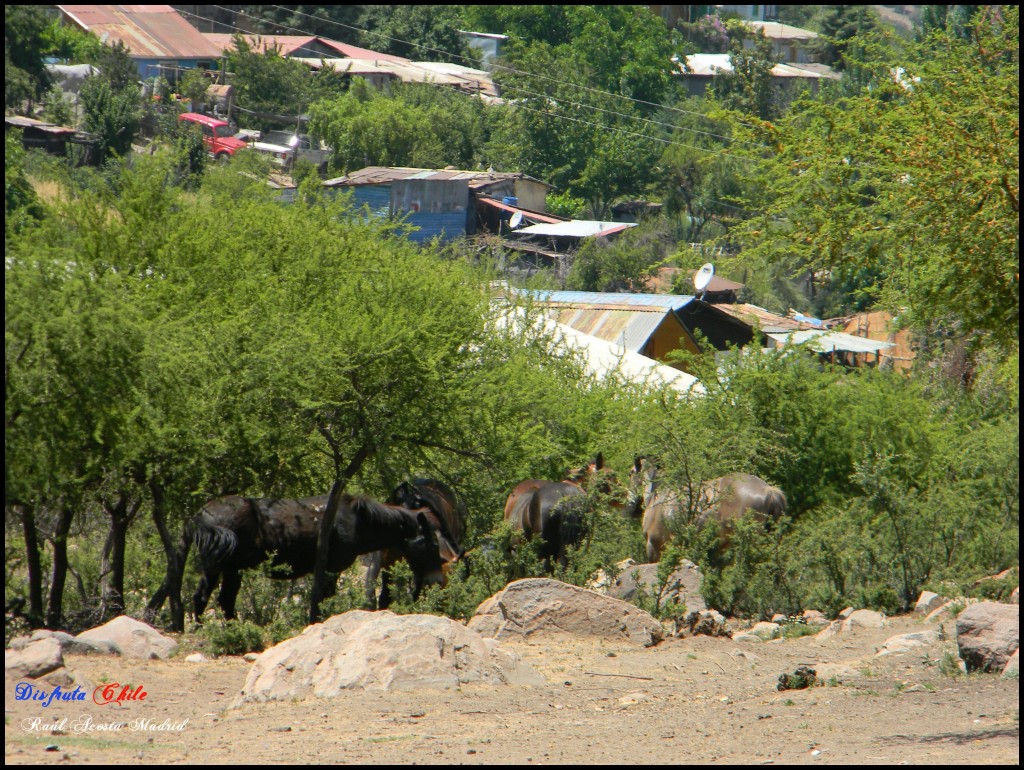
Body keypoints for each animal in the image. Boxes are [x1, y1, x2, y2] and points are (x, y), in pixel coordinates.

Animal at [190, 489, 446, 622]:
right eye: (433, 544)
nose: (438, 582)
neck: (357, 521)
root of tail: (202, 513)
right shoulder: (332, 568)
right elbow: (325, 597)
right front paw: (322, 621)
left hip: (225, 568)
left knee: (213, 598)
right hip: (225, 567)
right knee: (212, 598)